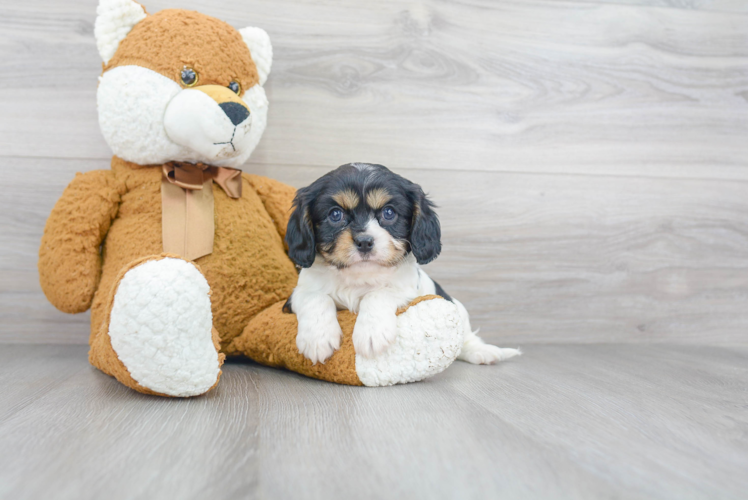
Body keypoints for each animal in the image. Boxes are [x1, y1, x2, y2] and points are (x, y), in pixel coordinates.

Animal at [282, 162, 520, 366]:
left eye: (389, 213)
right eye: (335, 214)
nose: (364, 241)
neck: (358, 276)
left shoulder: (406, 291)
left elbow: (377, 294)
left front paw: (371, 333)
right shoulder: (296, 295)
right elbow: (316, 297)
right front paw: (317, 339)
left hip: (457, 308)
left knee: (466, 338)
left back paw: (483, 352)